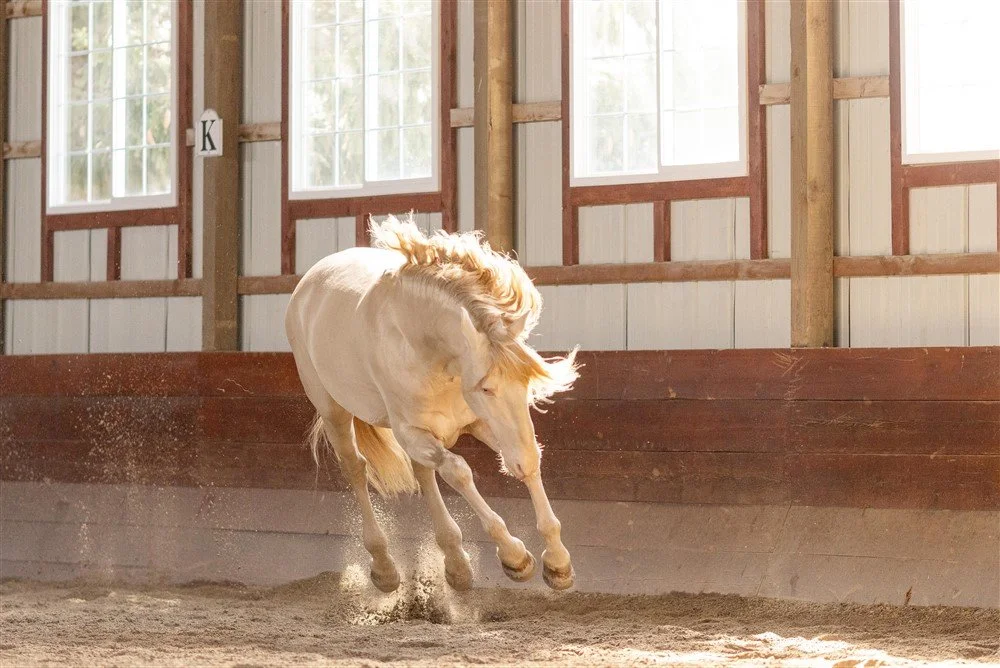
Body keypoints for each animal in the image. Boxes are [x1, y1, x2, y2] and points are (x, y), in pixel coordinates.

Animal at [284, 215, 580, 593]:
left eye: (526, 382)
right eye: (486, 388)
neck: (425, 346)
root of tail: (305, 290)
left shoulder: (476, 423)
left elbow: (528, 462)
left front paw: (557, 562)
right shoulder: (413, 432)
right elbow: (459, 471)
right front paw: (515, 556)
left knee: (423, 474)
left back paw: (455, 563)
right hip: (335, 412)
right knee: (357, 469)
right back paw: (385, 567)